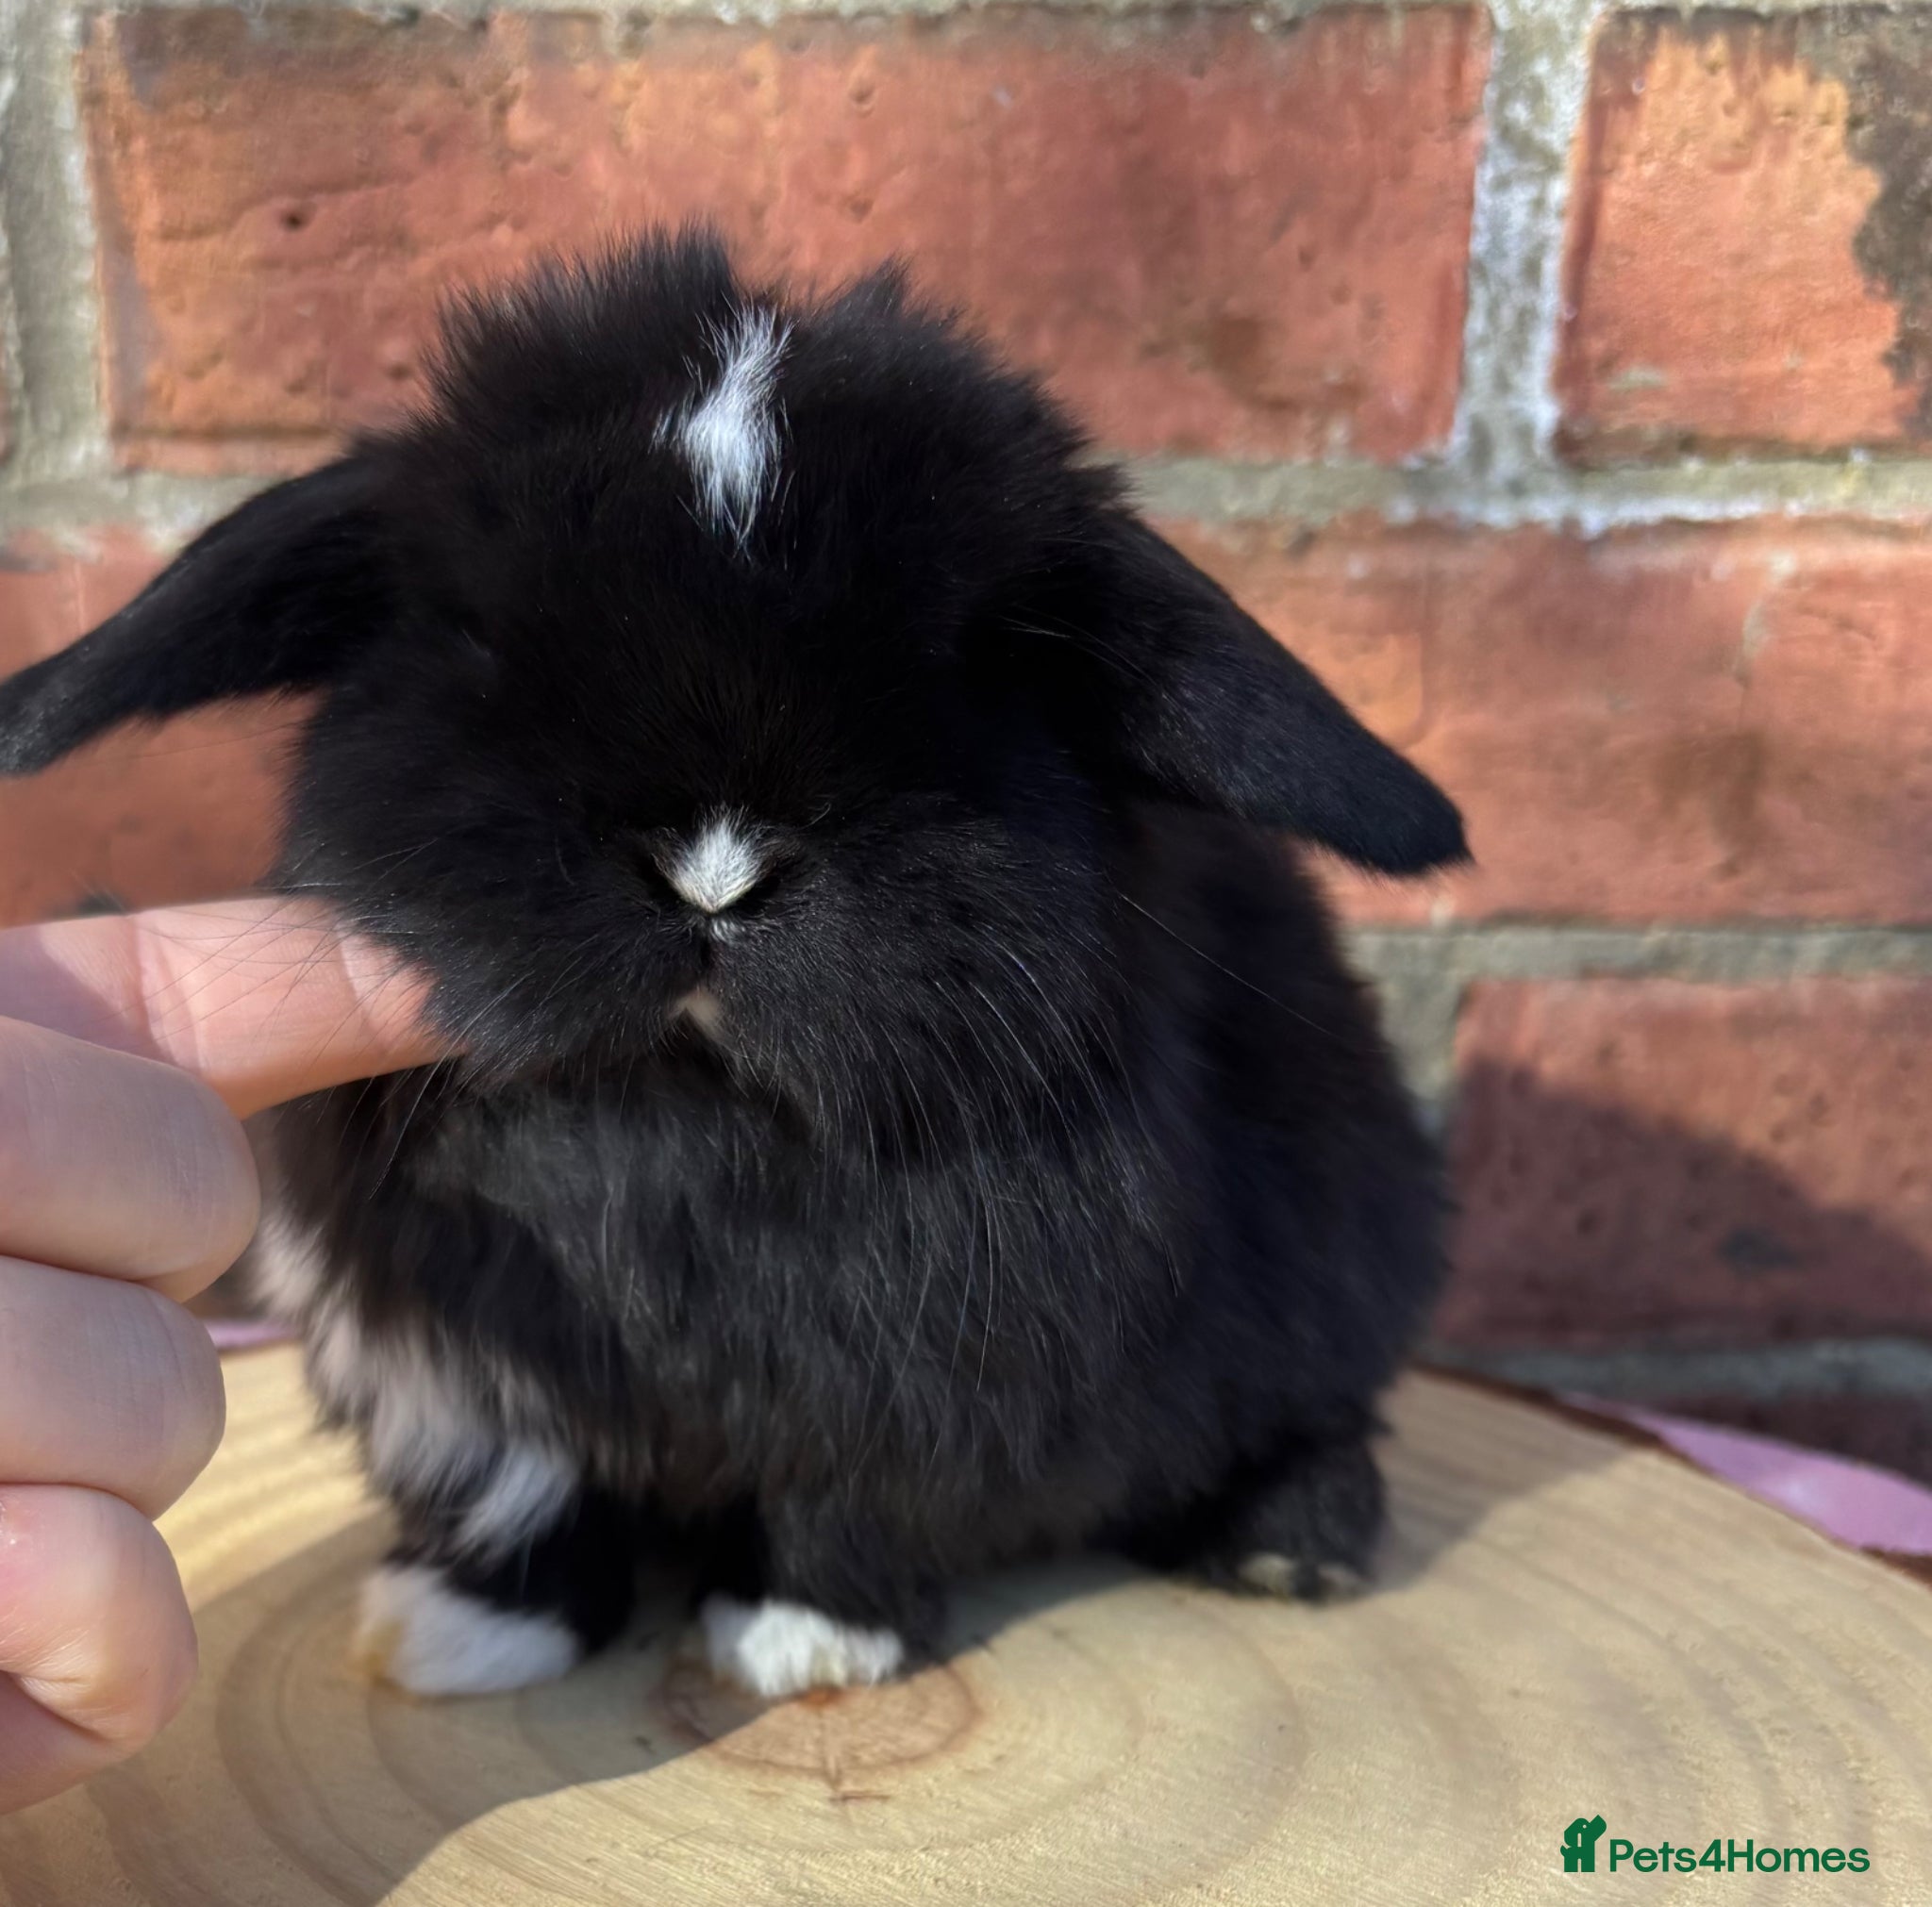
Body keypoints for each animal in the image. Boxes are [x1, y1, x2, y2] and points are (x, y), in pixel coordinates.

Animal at [0, 228, 1465, 1700]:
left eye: (972, 661)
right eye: (472, 629)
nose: (714, 873)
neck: (681, 1103)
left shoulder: (921, 1374)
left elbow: (842, 1492)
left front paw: (801, 1637)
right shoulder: (456, 1363)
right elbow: (520, 1488)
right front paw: (461, 1630)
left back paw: (1290, 1543)